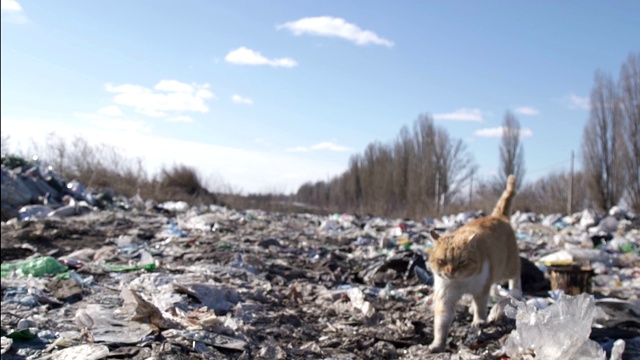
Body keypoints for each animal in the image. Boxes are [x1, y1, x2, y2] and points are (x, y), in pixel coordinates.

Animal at [424, 174, 520, 352]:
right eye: (442, 261)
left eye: (462, 262)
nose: (451, 271)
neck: (461, 282)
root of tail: (497, 216)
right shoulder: (444, 298)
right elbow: (441, 323)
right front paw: (438, 344)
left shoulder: (481, 289)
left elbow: (480, 307)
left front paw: (479, 321)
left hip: (507, 267)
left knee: (515, 276)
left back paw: (516, 291)